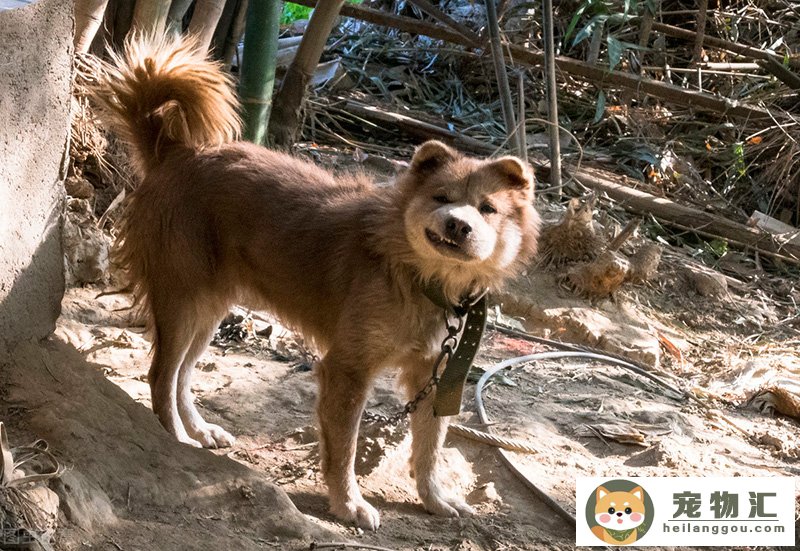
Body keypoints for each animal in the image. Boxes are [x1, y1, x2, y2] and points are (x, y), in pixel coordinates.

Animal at [97, 35, 540, 532]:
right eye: (441, 198)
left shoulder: (434, 376)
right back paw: (175, 437)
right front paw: (348, 504)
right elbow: (344, 450)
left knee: (181, 376)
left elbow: (428, 450)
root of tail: (177, 153)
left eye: (487, 209)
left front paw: (435, 499)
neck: (416, 276)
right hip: (183, 301)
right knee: (160, 375)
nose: (458, 225)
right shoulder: (347, 371)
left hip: (208, 309)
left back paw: (198, 429)